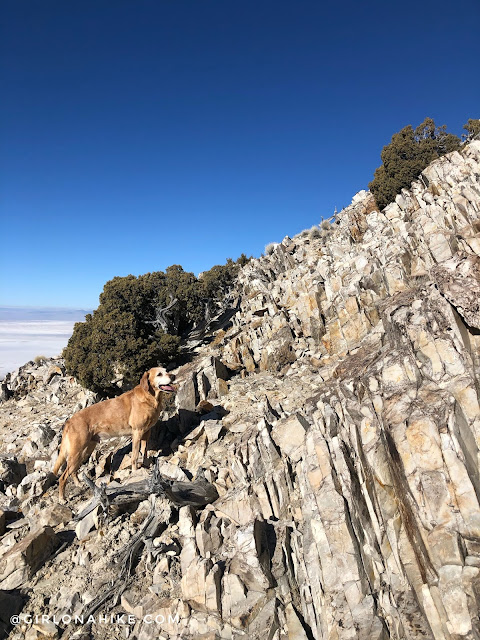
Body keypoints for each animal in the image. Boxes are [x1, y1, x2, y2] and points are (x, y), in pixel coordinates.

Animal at [53, 368, 176, 502]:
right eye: (159, 374)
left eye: (166, 371)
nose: (173, 376)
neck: (150, 397)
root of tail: (69, 422)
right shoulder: (137, 432)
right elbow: (135, 456)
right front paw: (135, 471)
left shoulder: (146, 433)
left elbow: (144, 452)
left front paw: (146, 465)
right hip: (77, 451)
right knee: (63, 476)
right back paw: (62, 498)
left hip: (85, 450)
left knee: (73, 471)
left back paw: (78, 484)